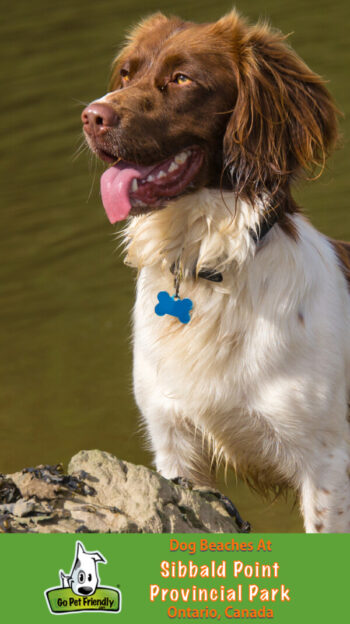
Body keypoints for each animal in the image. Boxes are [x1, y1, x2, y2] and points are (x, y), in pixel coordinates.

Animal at [81, 11, 350, 532]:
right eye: (126, 73)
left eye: (182, 79)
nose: (91, 116)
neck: (206, 267)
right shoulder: (174, 446)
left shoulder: (327, 465)